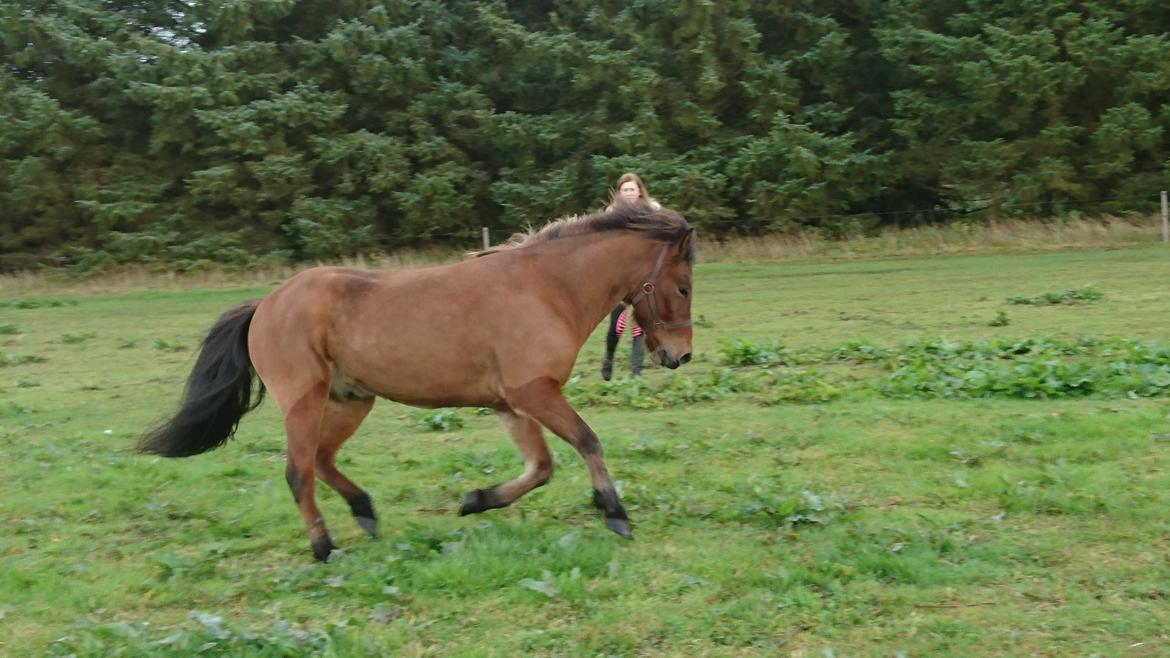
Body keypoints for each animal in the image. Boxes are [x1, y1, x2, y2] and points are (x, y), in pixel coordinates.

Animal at [142, 203, 697, 557]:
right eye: (684, 287)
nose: (680, 355)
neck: (546, 289)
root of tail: (265, 305)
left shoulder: (510, 404)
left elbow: (540, 468)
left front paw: (477, 501)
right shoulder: (533, 391)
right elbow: (587, 441)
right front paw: (615, 513)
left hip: (350, 401)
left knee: (321, 460)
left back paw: (365, 511)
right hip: (304, 401)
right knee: (299, 473)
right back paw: (324, 548)